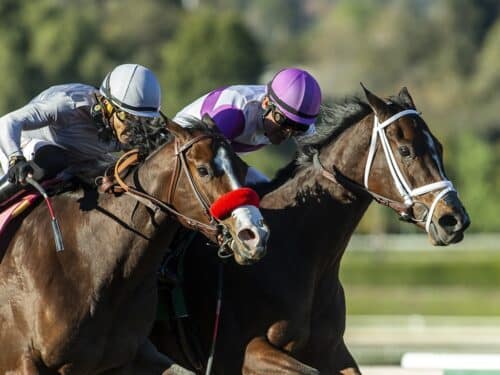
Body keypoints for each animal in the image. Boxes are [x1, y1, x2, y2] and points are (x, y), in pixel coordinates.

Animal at [151, 86, 468, 375]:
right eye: (405, 151)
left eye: (439, 148)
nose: (454, 219)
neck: (300, 252)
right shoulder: (243, 352)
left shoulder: (332, 350)